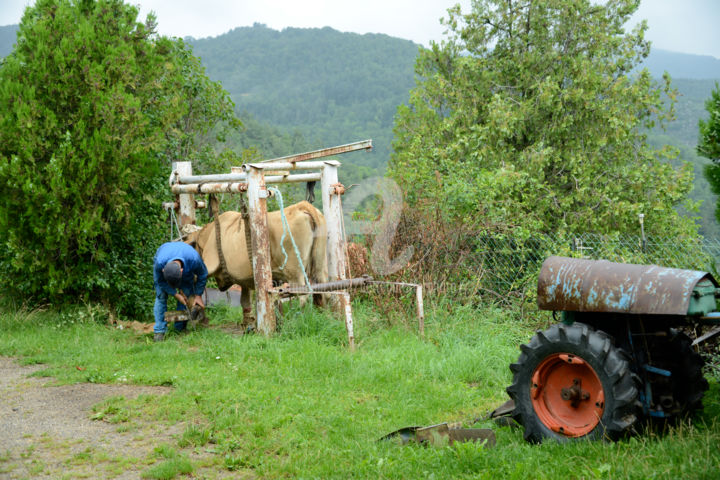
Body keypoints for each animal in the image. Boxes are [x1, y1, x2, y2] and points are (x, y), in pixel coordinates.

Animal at [187, 201, 330, 328]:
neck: (207, 235)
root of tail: (302, 206)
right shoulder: (244, 279)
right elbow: (245, 301)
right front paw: (248, 324)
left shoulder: (210, 261)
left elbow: (194, 282)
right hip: (320, 265)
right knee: (324, 290)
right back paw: (326, 317)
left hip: (295, 272)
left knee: (302, 295)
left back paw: (296, 320)